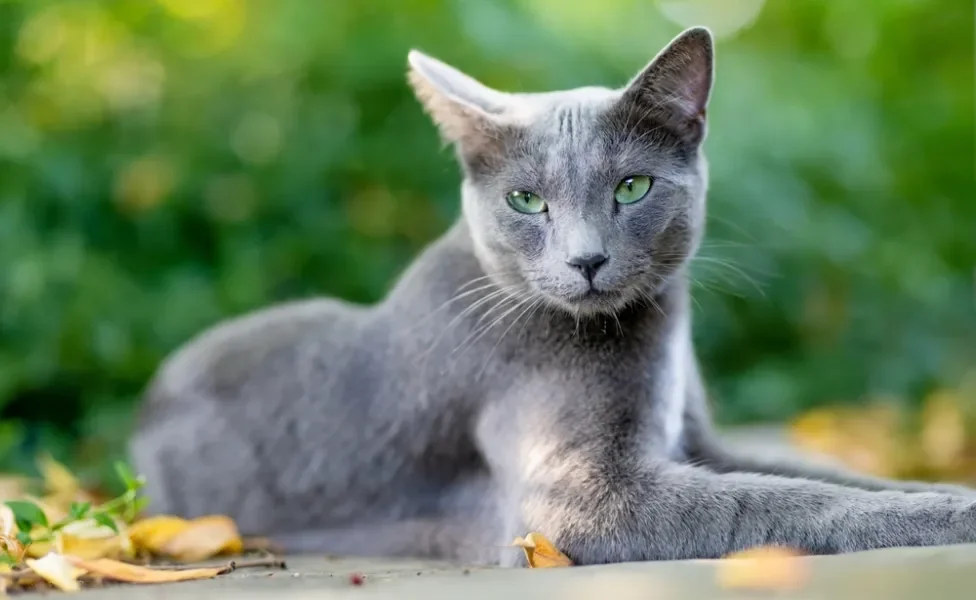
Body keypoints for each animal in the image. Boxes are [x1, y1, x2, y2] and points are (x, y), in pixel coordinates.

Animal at [132, 27, 976, 564]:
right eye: (526, 200)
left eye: (632, 186)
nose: (587, 259)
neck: (651, 331)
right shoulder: (575, 500)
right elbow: (775, 501)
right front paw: (955, 513)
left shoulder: (700, 440)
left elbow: (829, 479)